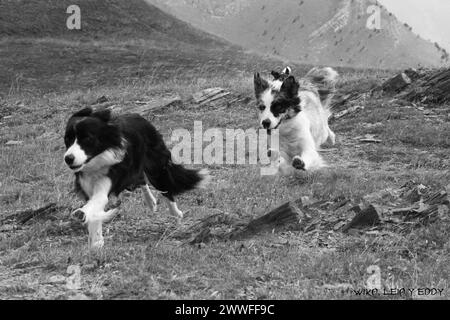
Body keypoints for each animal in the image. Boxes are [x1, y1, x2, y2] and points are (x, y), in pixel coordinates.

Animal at [63, 107, 209, 248]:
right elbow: (94, 208)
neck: (96, 161)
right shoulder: (85, 182)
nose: (68, 158)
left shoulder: (110, 175)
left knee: (166, 189)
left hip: (156, 167)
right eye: (67, 139)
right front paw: (97, 241)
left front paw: (82, 214)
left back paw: (176, 213)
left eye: (87, 138)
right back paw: (151, 202)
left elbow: (99, 199)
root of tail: (139, 117)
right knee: (141, 179)